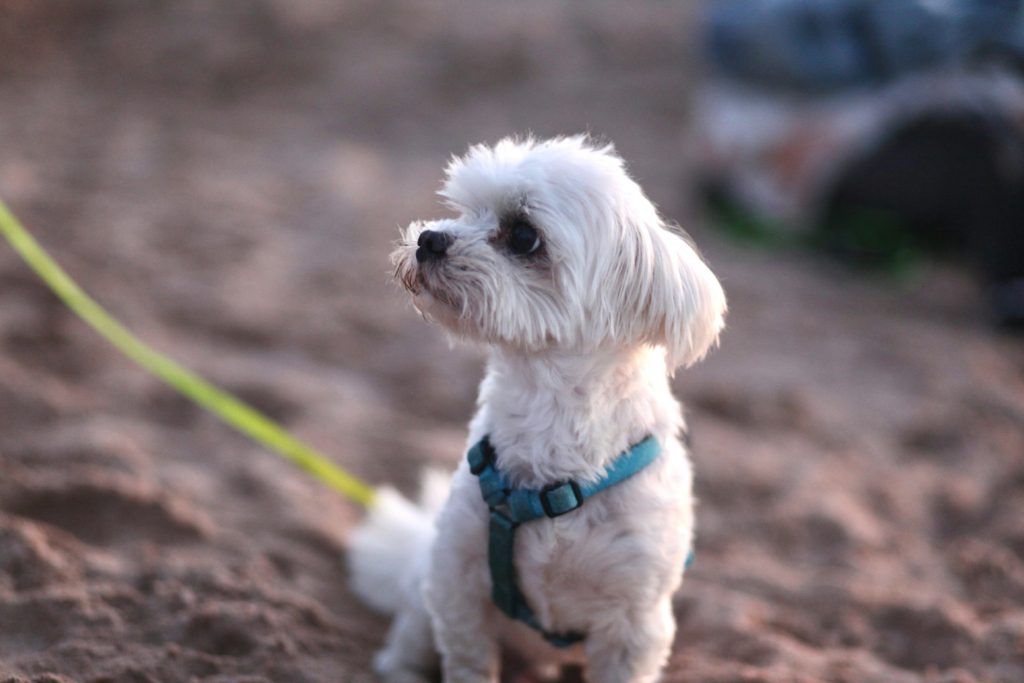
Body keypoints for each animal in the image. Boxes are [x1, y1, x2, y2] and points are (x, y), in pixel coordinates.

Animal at [352, 135, 729, 683]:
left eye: (525, 236)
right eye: (463, 211)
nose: (429, 238)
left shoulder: (635, 620)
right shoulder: (458, 579)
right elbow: (468, 661)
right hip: (427, 587)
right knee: (407, 639)